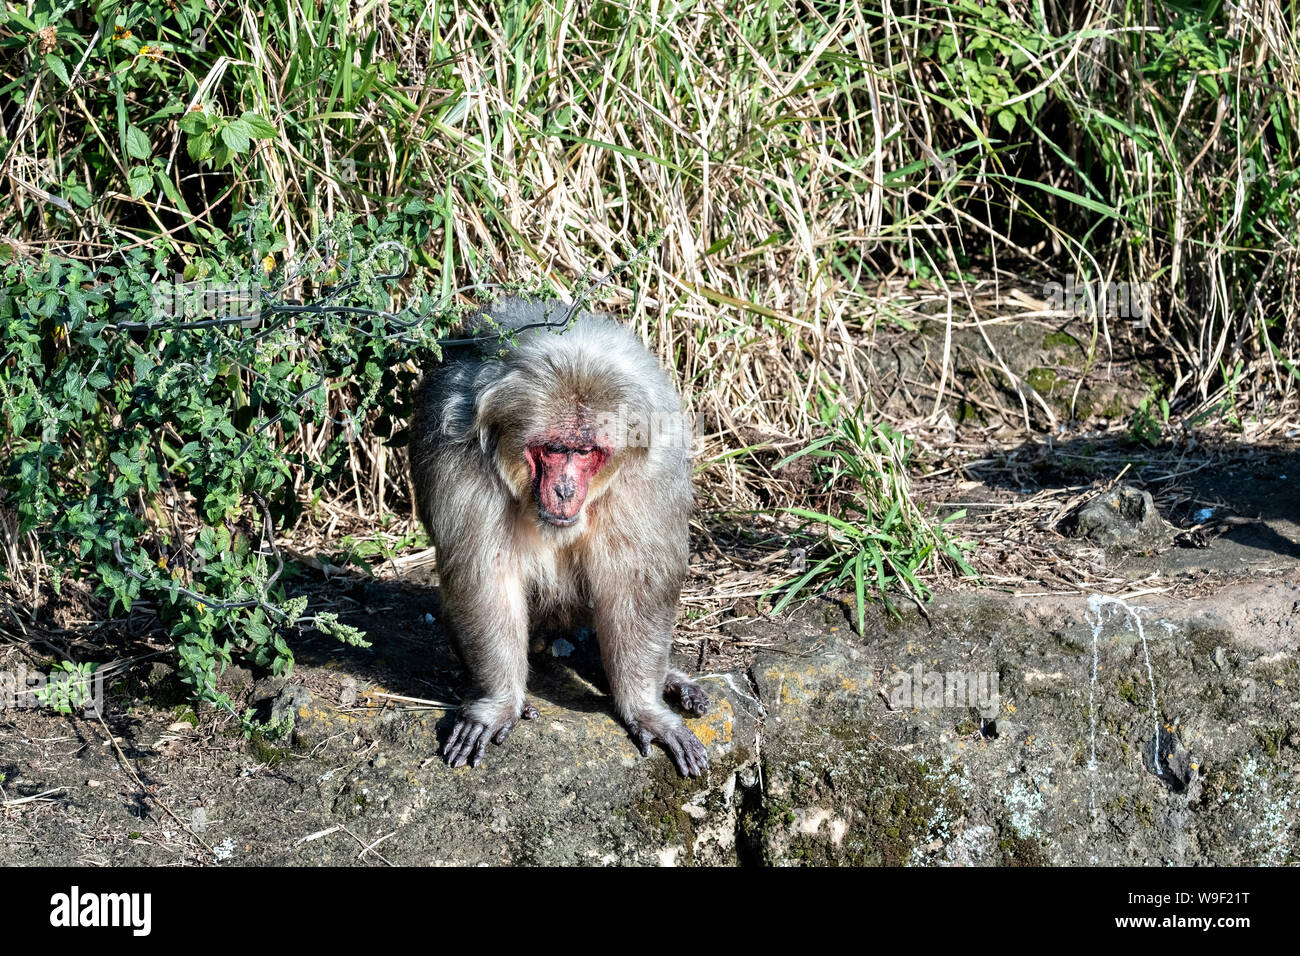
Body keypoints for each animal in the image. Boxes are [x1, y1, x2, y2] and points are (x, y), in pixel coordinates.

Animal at [409, 296, 711, 777]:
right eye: (553, 449)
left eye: (585, 451)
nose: (565, 490)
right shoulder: (459, 456)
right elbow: (484, 577)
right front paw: (498, 703)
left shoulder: (651, 467)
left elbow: (637, 582)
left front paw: (644, 706)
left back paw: (671, 682)